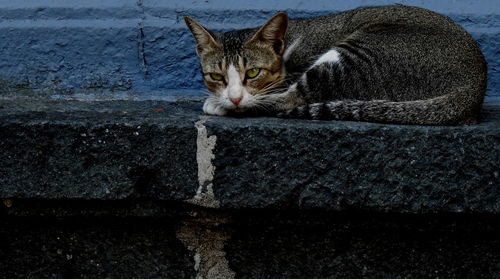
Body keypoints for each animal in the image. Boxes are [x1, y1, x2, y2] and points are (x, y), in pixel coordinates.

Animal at [184, 4, 484, 125]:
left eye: (254, 72)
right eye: (215, 76)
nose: (233, 97)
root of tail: (474, 85)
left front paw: (220, 103)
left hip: (360, 53)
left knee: (291, 99)